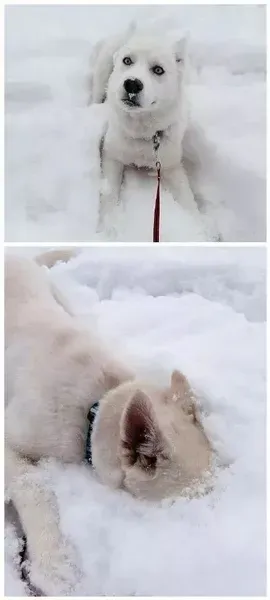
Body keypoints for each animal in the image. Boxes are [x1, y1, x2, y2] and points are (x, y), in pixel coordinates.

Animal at [90, 27, 200, 234]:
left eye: (158, 70)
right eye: (127, 61)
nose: (132, 83)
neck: (142, 133)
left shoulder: (171, 166)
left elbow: (189, 201)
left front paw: (204, 230)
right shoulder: (112, 157)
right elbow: (109, 194)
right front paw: (107, 225)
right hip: (102, 70)